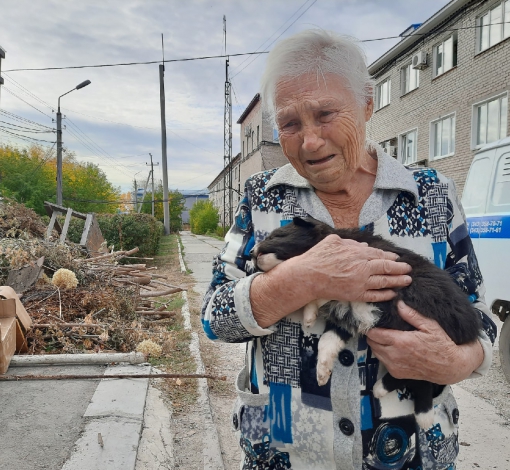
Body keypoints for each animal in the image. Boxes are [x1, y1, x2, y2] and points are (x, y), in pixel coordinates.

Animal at [252, 217, 482, 430]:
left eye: (277, 236)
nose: (252, 252)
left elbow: (326, 291)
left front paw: (310, 312)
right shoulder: (347, 315)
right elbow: (327, 340)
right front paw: (322, 371)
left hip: (425, 345)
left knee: (421, 377)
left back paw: (403, 402)